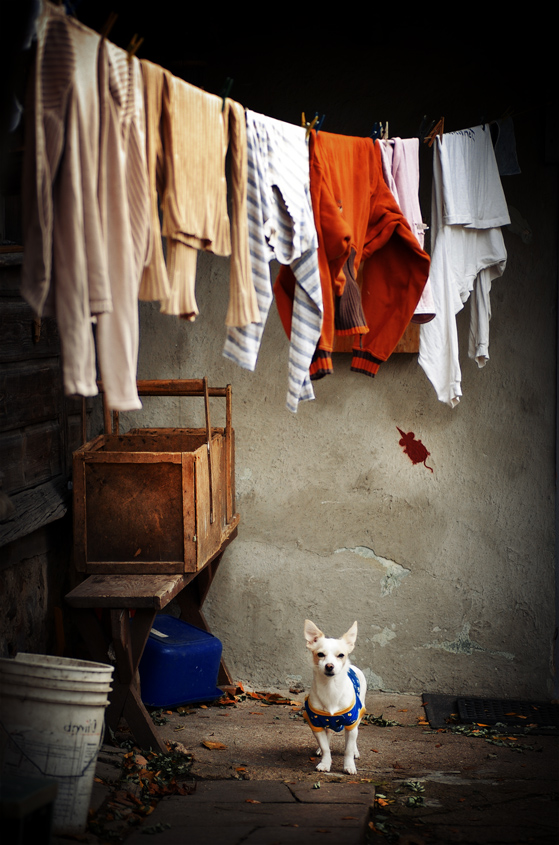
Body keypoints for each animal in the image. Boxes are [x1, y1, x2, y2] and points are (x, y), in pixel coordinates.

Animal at [303, 619, 367, 774]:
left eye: (341, 655)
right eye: (320, 654)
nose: (329, 666)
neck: (330, 688)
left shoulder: (351, 722)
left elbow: (348, 749)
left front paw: (349, 766)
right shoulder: (316, 723)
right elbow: (326, 747)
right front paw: (325, 763)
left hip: (359, 714)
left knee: (353, 737)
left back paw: (355, 751)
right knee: (329, 734)